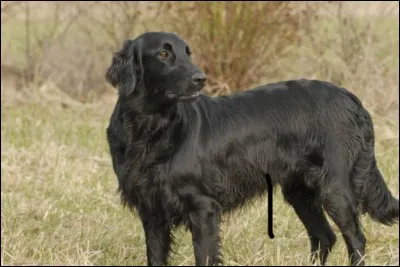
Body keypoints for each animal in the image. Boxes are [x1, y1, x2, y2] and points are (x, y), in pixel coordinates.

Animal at [104, 32, 398, 266]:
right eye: (164, 53)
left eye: (188, 52)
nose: (201, 78)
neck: (150, 128)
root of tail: (350, 98)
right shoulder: (151, 211)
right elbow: (155, 257)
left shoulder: (203, 208)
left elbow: (205, 256)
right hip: (300, 192)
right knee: (324, 236)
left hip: (335, 188)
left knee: (355, 239)